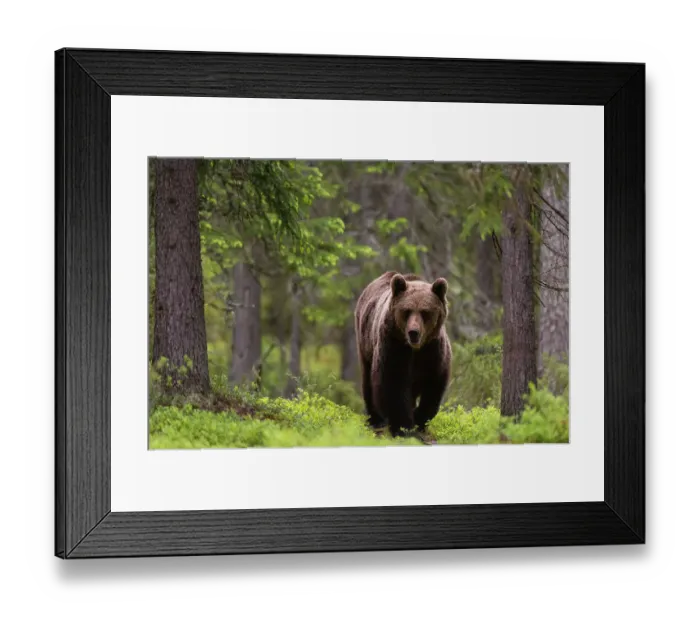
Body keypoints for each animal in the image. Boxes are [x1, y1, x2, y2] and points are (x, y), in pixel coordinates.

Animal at [354, 271, 452, 437]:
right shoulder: (394, 346)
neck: (415, 349)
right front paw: (403, 426)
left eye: (425, 312)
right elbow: (393, 384)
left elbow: (434, 384)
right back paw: (375, 419)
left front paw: (419, 419)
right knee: (368, 381)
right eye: (407, 310)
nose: (413, 332)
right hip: (365, 342)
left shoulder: (433, 350)